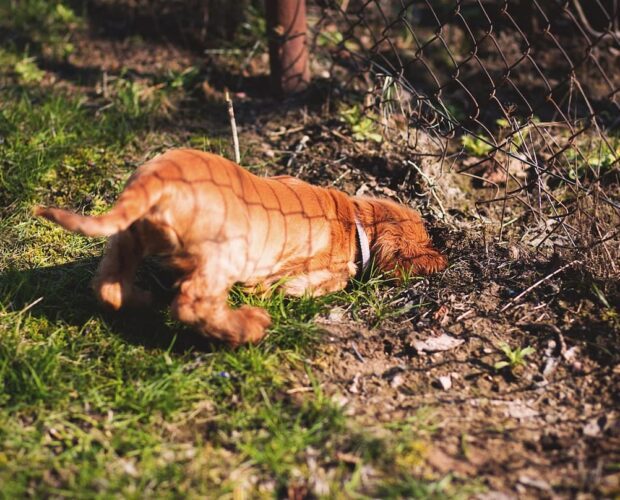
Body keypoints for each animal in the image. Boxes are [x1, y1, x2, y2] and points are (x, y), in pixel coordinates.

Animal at [35, 148, 446, 344]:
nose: (442, 259)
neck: (355, 219)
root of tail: (158, 179)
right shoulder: (314, 277)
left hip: (127, 237)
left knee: (108, 286)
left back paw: (145, 299)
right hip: (223, 254)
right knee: (193, 304)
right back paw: (248, 327)